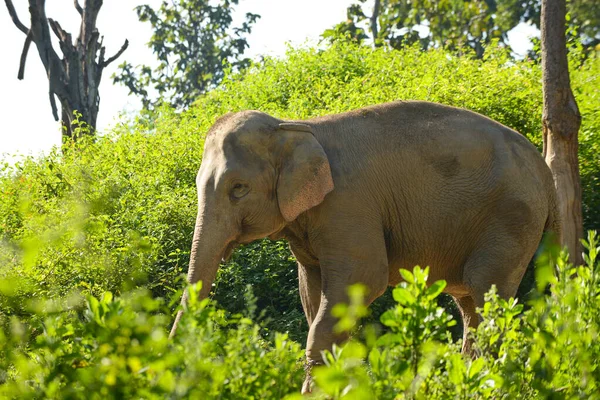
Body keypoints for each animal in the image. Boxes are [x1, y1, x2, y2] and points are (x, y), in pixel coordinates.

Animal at [170, 101, 564, 394]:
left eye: (238, 189)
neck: (296, 127)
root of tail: (544, 171)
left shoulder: (348, 205)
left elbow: (364, 279)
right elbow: (312, 293)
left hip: (512, 217)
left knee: (487, 289)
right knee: (469, 301)